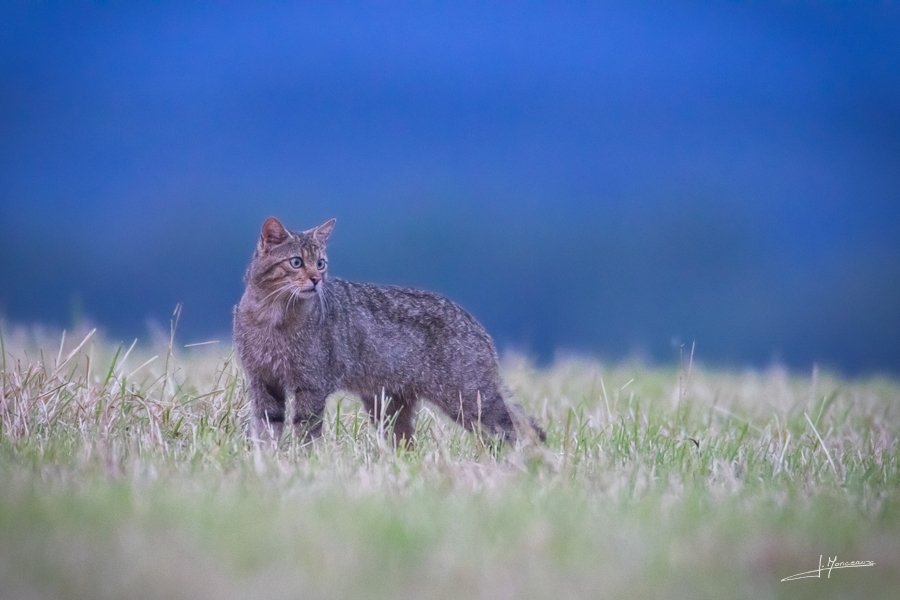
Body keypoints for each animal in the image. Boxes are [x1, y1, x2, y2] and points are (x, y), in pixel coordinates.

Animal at [232, 218, 544, 448]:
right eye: (296, 262)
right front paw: (266, 460)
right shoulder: (264, 382)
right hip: (390, 408)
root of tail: (476, 324)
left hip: (468, 399)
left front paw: (302, 461)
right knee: (408, 446)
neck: (273, 316)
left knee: (522, 427)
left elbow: (305, 431)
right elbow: (267, 429)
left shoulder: (311, 385)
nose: (317, 279)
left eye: (321, 263)